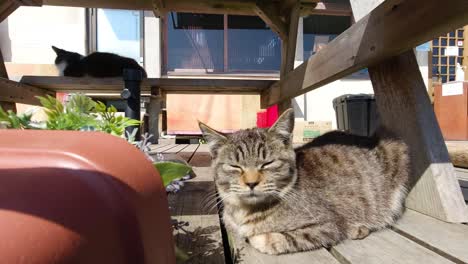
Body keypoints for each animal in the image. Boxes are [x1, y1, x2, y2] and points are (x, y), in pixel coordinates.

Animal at [198, 108, 410, 255]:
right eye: (235, 166)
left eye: (268, 163)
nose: (251, 183)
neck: (244, 211)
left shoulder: (327, 225)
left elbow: (278, 238)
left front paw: (259, 238)